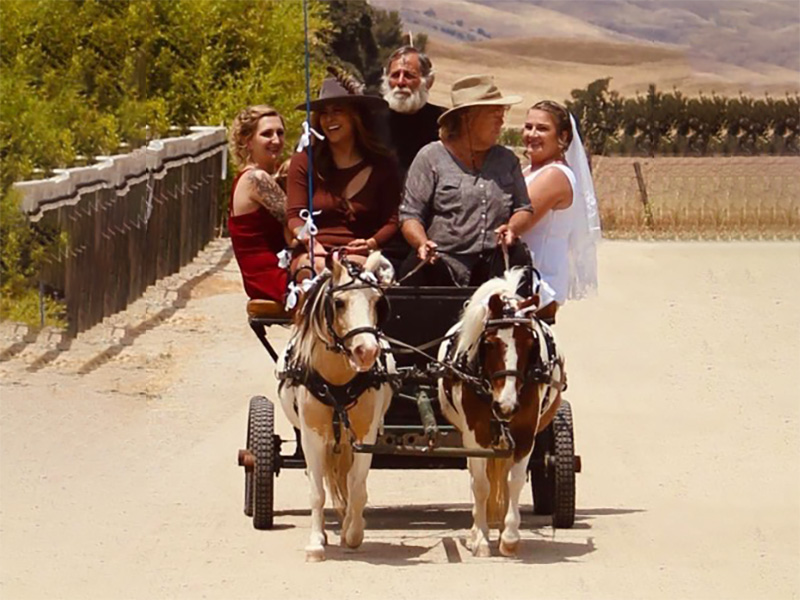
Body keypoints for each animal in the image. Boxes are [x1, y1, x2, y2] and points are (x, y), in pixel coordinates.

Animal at [278, 253, 396, 564]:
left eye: (376, 301)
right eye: (339, 303)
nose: (367, 352)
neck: (338, 384)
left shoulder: (365, 436)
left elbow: (356, 487)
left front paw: (352, 533)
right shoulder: (311, 436)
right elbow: (317, 492)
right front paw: (316, 543)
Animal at [438, 270, 568, 556]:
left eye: (530, 343)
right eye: (489, 343)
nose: (505, 406)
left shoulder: (525, 431)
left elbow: (515, 480)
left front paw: (509, 536)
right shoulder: (475, 434)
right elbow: (481, 484)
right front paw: (480, 538)